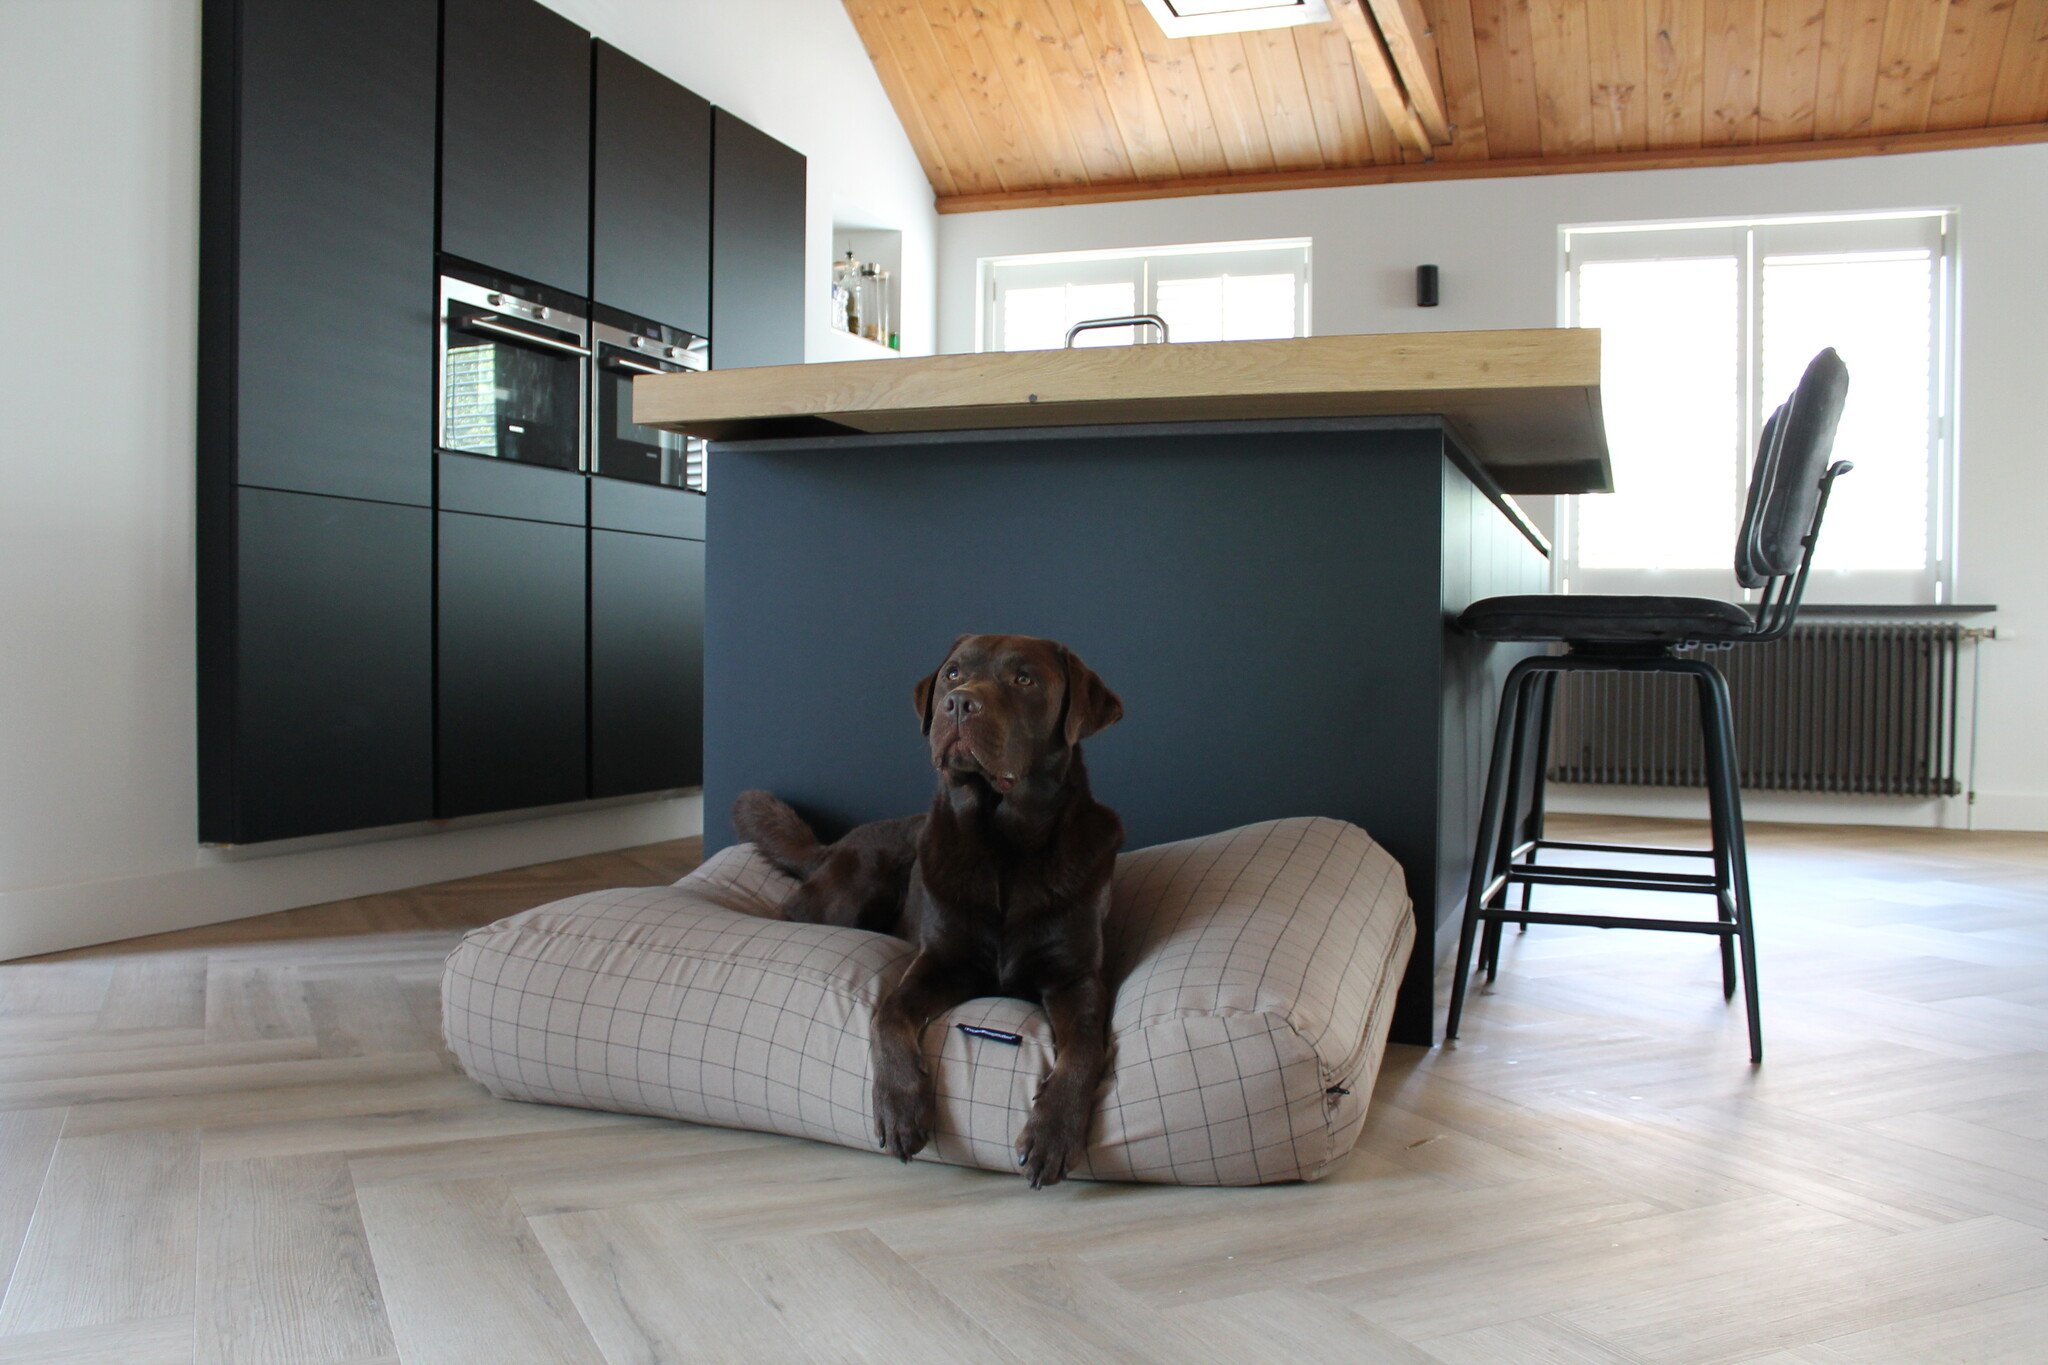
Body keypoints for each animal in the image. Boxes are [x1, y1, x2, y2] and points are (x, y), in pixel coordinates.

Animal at [732, 633, 1124, 1188]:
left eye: (1024, 679)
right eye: (954, 674)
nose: (958, 704)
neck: (1002, 848)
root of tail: (831, 847)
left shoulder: (1076, 977)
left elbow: (1086, 1046)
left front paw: (1053, 1133)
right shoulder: (939, 961)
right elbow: (887, 1014)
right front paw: (900, 1108)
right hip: (859, 886)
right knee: (790, 911)